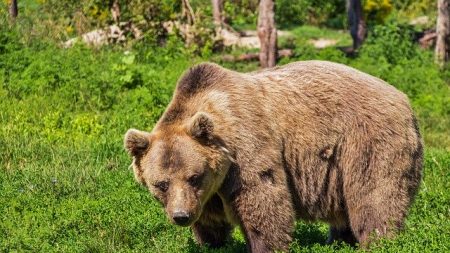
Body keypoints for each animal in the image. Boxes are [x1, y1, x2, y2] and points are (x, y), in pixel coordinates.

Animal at [123, 60, 422, 252]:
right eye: (161, 184)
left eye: (194, 177)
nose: (181, 216)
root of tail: (404, 99)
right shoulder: (210, 187)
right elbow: (210, 217)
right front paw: (210, 241)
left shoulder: (246, 148)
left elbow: (263, 198)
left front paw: (264, 244)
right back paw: (338, 239)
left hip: (367, 141)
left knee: (375, 195)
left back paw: (377, 240)